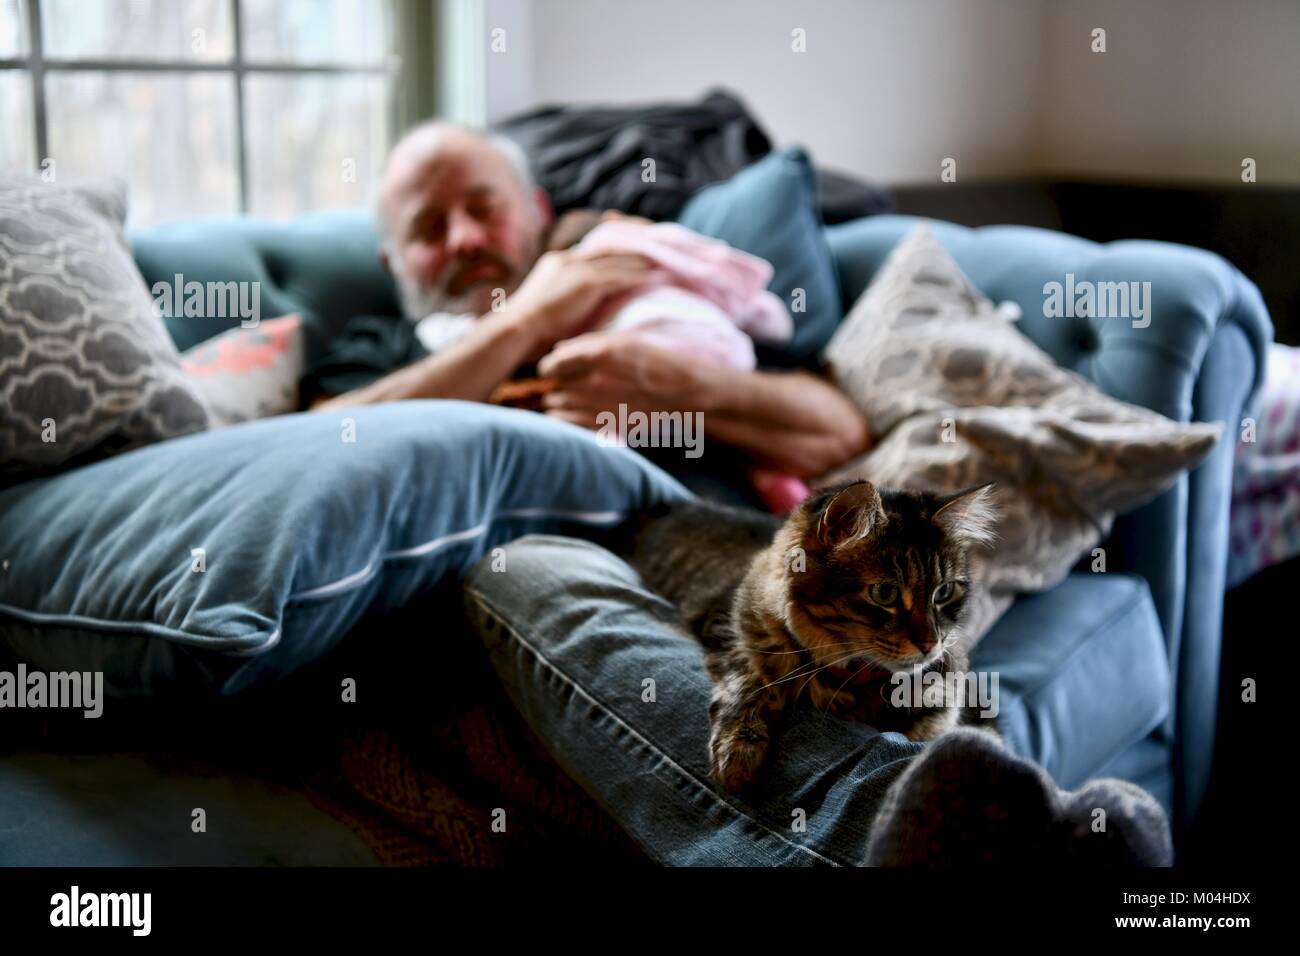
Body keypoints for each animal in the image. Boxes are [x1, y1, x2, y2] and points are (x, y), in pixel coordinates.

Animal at [616, 478, 993, 790]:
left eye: (944, 592)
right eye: (885, 594)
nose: (931, 643)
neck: (862, 683)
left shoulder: (949, 696)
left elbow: (932, 725)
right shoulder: (729, 628)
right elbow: (748, 684)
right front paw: (737, 755)